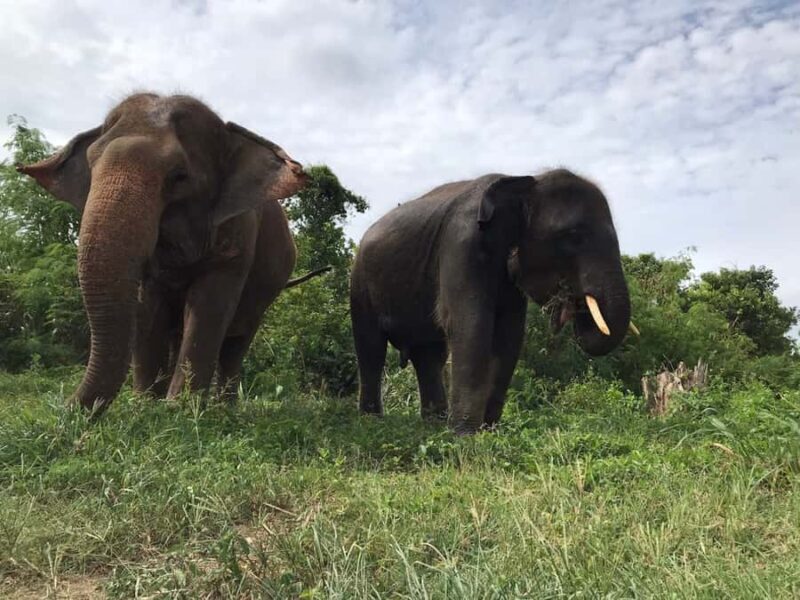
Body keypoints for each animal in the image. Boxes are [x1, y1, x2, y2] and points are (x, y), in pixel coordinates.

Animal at [18, 93, 311, 415]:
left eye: (179, 176)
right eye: (91, 166)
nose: (60, 409)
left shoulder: (237, 237)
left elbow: (208, 306)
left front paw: (179, 411)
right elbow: (148, 308)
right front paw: (146, 406)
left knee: (236, 342)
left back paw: (225, 409)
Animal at [350, 170, 632, 434]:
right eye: (573, 236)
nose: (570, 303)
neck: (525, 182)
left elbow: (509, 334)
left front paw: (488, 431)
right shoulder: (461, 244)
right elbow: (470, 325)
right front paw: (465, 436)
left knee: (429, 355)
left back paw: (433, 424)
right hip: (360, 281)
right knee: (371, 349)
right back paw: (371, 422)